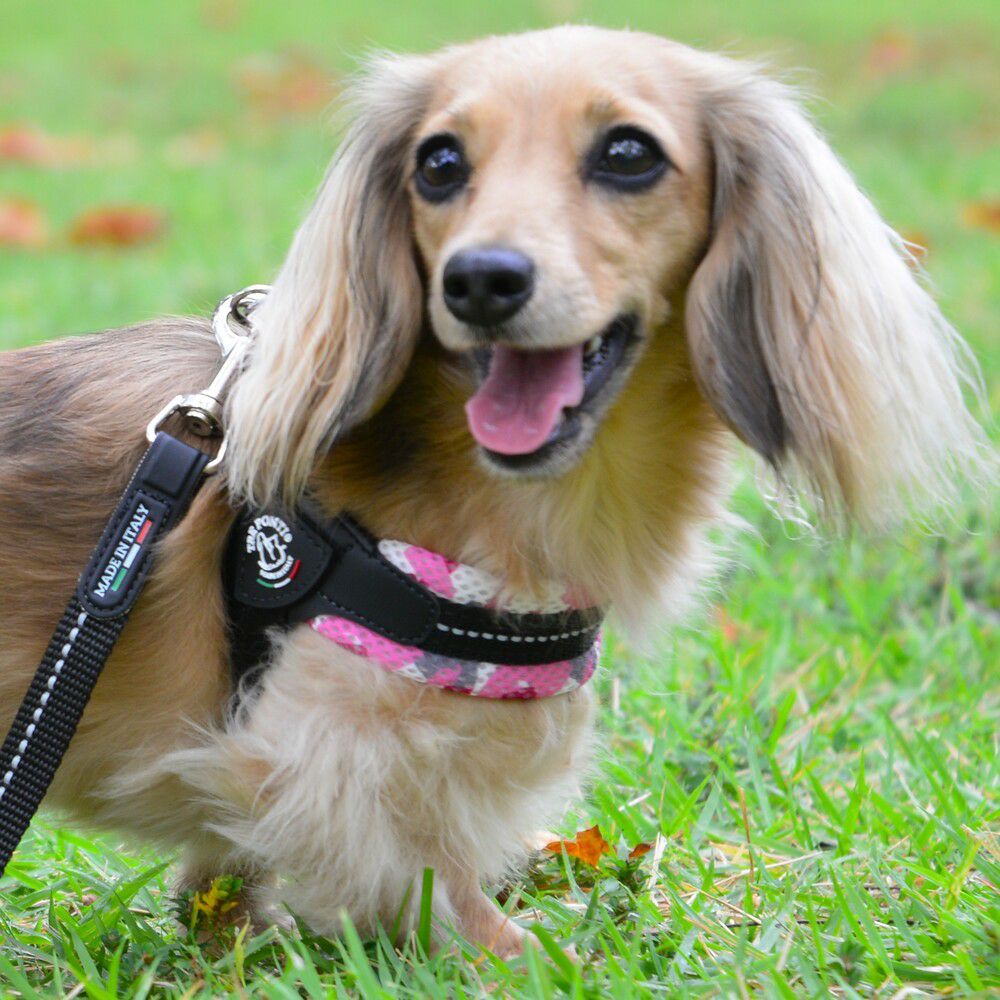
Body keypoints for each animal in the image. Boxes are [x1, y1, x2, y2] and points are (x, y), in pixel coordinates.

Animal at [0, 26, 986, 954]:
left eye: (629, 153)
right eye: (439, 164)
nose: (479, 280)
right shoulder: (330, 760)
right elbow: (455, 900)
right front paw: (557, 952)